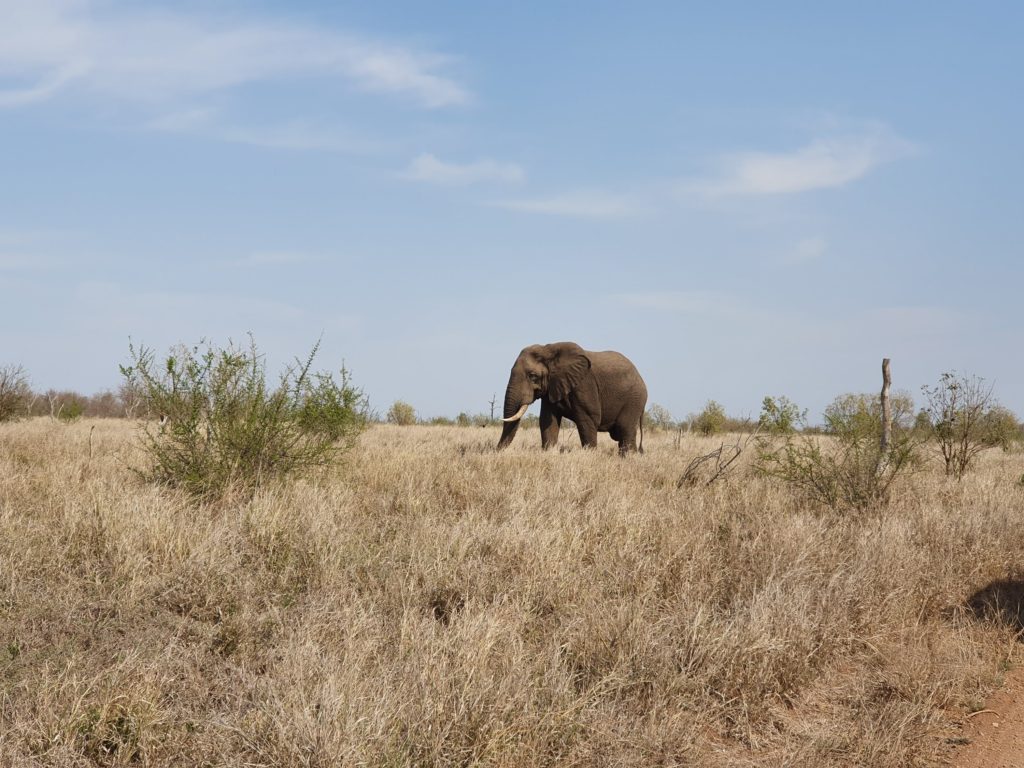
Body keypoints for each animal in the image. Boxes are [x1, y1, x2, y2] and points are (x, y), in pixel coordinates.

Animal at [495, 339, 647, 454]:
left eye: (533, 376)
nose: (496, 451)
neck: (548, 350)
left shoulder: (584, 384)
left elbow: (588, 419)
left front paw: (590, 455)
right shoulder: (552, 387)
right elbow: (547, 420)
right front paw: (549, 452)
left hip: (634, 399)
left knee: (625, 429)